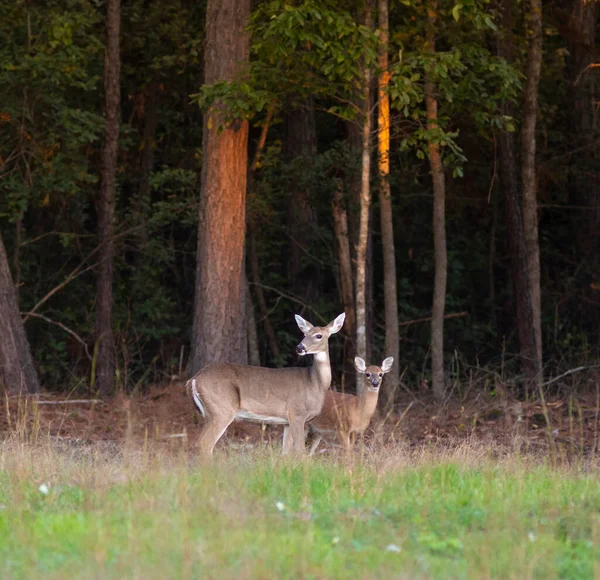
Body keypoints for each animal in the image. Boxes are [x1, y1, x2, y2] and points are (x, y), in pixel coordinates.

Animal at [188, 312, 346, 458]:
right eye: (304, 333)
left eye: (319, 335)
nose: (300, 348)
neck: (315, 383)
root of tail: (195, 379)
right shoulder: (297, 413)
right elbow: (300, 451)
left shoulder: (288, 421)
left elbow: (285, 453)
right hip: (223, 408)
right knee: (205, 444)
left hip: (211, 413)